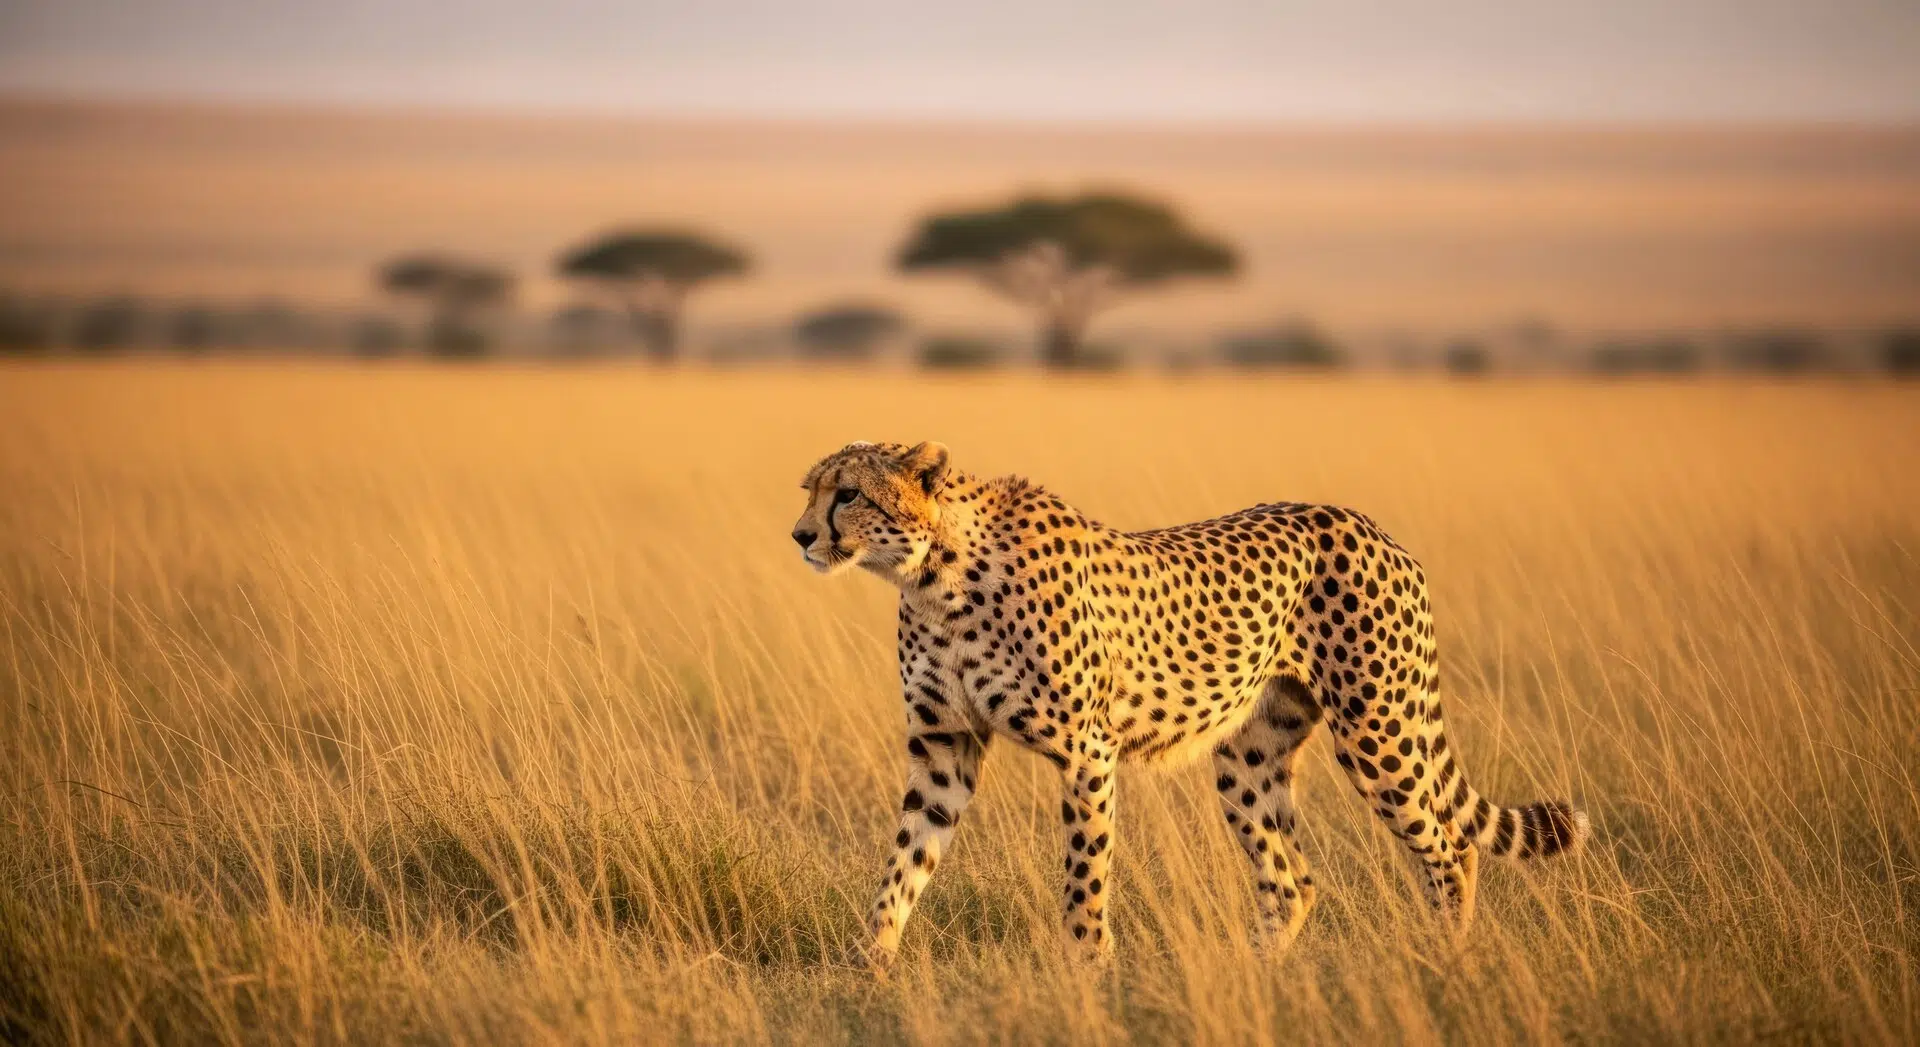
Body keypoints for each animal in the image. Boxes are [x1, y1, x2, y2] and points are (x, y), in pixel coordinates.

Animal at [792, 440, 1589, 966]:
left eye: (849, 494)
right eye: (810, 489)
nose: (799, 535)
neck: (936, 573)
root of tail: (1372, 526)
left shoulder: (1087, 749)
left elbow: (1084, 874)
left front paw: (1089, 971)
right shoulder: (943, 748)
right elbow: (904, 862)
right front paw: (871, 963)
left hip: (1378, 729)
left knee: (1450, 845)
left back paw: (1446, 956)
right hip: (1249, 759)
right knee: (1293, 880)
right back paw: (1256, 972)